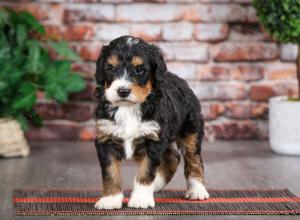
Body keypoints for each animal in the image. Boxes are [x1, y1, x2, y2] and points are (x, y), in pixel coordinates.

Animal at [94, 36, 209, 210]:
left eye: (140, 69)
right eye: (111, 68)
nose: (122, 91)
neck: (128, 108)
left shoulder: (153, 140)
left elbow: (146, 170)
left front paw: (140, 199)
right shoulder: (105, 137)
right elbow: (110, 171)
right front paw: (110, 199)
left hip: (191, 129)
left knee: (193, 158)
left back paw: (197, 190)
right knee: (173, 157)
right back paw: (157, 184)